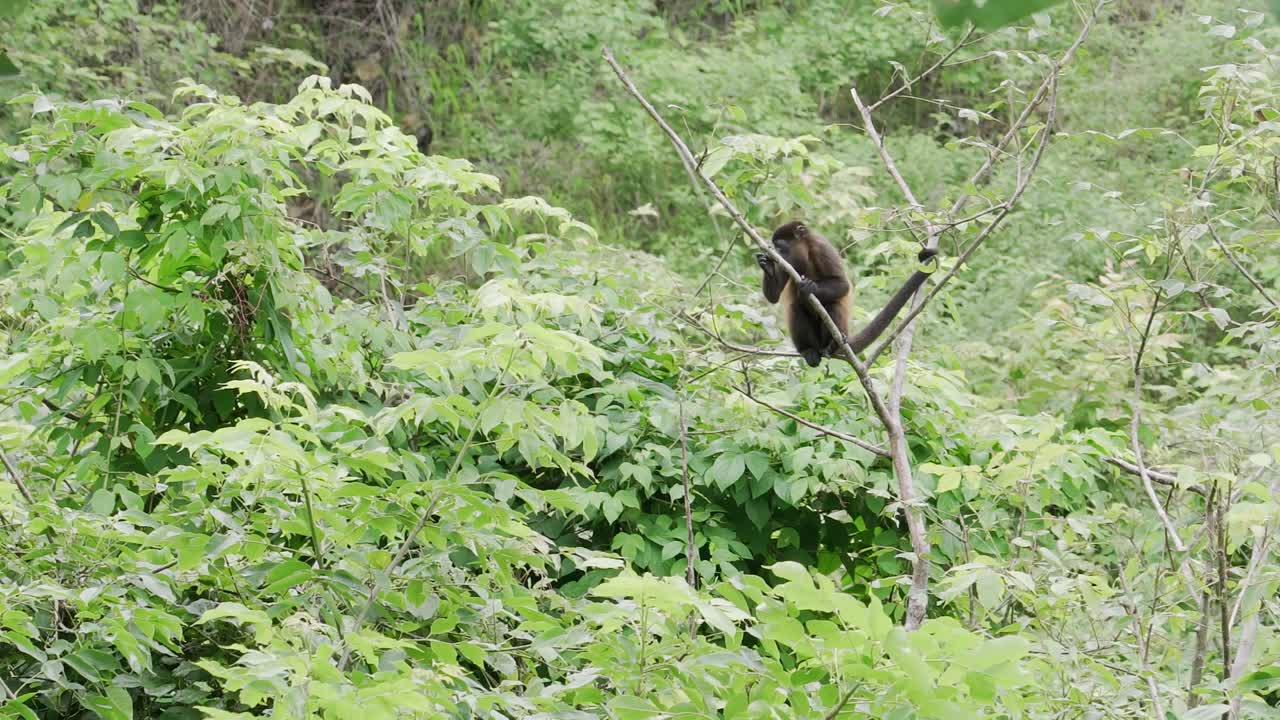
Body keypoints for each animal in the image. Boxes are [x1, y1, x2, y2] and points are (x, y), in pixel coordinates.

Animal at [756, 221, 937, 367]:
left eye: (780, 246)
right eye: (775, 247)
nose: (775, 253)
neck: (805, 254)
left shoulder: (821, 247)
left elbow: (842, 285)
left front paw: (810, 288)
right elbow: (773, 297)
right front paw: (768, 267)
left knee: (832, 305)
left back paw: (833, 345)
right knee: (796, 307)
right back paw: (808, 350)